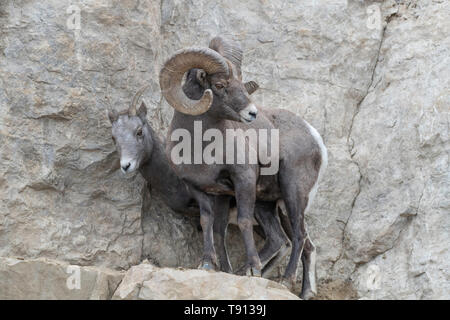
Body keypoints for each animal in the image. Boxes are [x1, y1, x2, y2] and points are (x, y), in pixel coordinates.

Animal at [110, 87, 292, 276]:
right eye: (114, 138)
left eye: (139, 131)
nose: (126, 165)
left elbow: (218, 234)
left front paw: (223, 268)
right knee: (284, 242)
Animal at [159, 37, 326, 300]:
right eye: (219, 84)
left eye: (240, 81)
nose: (252, 113)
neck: (201, 145)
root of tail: (314, 137)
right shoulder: (207, 191)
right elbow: (212, 226)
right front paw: (210, 265)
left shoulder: (243, 181)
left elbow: (244, 221)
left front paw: (252, 269)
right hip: (269, 205)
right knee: (290, 241)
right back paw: (304, 291)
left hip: (293, 195)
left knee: (299, 237)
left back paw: (285, 280)